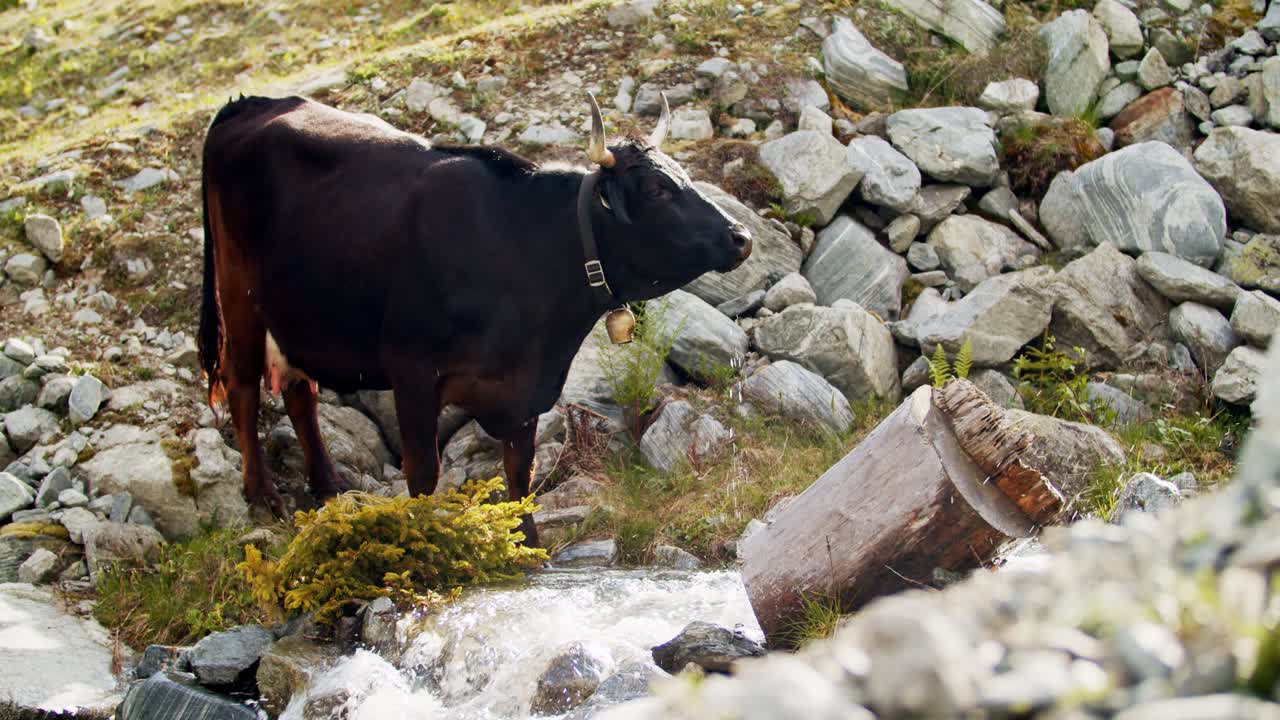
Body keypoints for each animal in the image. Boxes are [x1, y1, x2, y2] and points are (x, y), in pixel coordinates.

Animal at [198, 92, 753, 546]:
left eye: (684, 176)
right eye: (657, 189)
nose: (742, 236)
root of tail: (252, 103)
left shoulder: (525, 390)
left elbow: (520, 472)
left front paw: (528, 545)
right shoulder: (411, 370)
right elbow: (423, 474)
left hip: (295, 314)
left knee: (300, 392)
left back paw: (329, 484)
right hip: (239, 294)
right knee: (243, 386)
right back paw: (263, 495)